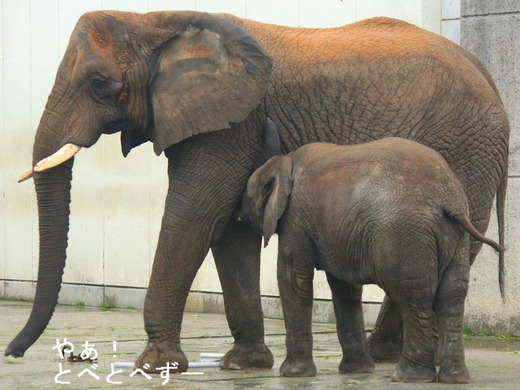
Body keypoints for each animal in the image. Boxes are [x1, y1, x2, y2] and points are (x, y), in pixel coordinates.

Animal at [240, 138, 504, 384]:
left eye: (248, 198)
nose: (240, 219)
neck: (285, 160)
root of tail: (447, 197)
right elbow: (345, 288)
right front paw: (358, 371)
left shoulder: (295, 219)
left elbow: (294, 279)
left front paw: (293, 374)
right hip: (455, 237)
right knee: (451, 296)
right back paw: (456, 378)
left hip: (403, 235)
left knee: (412, 297)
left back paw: (409, 377)